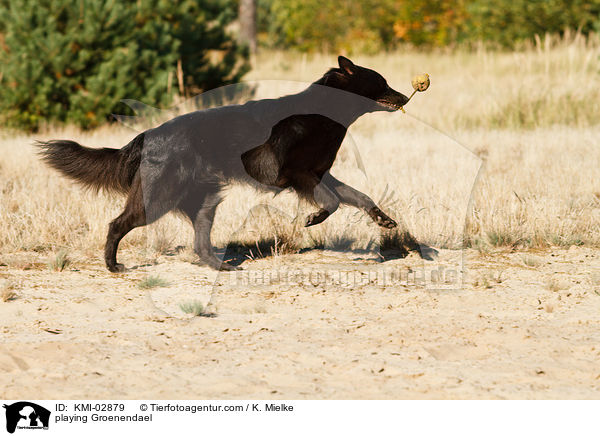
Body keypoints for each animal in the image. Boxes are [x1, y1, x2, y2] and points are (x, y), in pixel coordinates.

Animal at [37, 56, 410, 270]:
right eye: (382, 82)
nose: (407, 96)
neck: (322, 113)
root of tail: (147, 136)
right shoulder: (294, 175)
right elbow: (332, 202)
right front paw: (313, 218)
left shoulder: (319, 174)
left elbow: (359, 196)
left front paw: (384, 219)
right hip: (157, 199)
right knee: (116, 224)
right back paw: (113, 266)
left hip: (205, 201)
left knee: (200, 243)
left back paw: (221, 266)